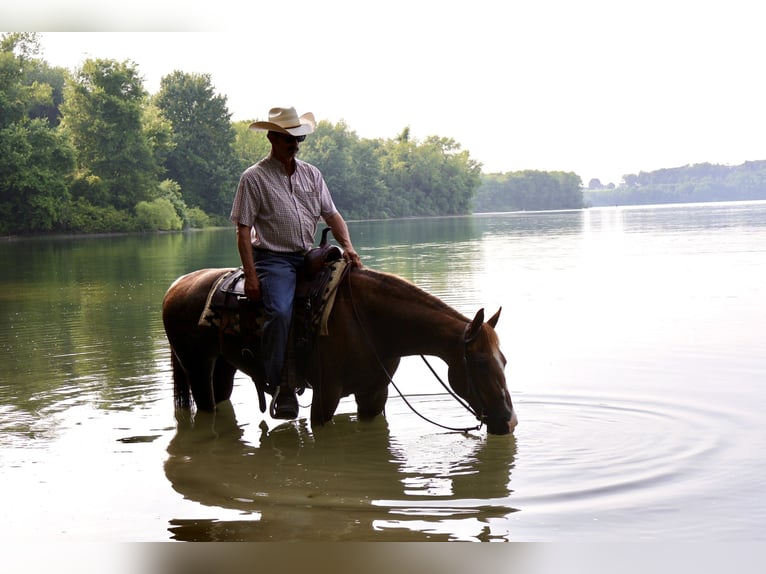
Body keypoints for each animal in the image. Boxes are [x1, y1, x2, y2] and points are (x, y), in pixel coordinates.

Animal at [161, 265, 518, 435]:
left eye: (504, 361)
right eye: (480, 362)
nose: (509, 421)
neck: (372, 324)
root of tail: (175, 286)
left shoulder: (374, 396)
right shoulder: (325, 397)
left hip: (224, 366)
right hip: (196, 367)